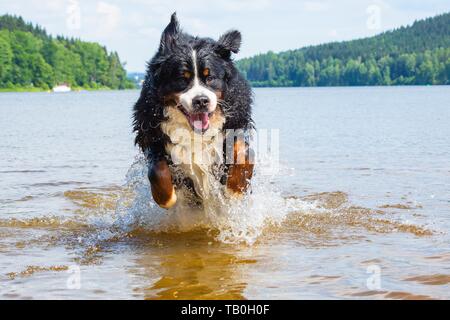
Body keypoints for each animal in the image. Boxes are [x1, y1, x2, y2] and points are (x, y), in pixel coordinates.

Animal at [133, 12, 253, 209]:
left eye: (210, 77)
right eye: (182, 78)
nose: (201, 101)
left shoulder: (236, 121)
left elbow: (243, 150)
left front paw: (235, 188)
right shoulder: (151, 132)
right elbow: (157, 169)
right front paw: (165, 198)